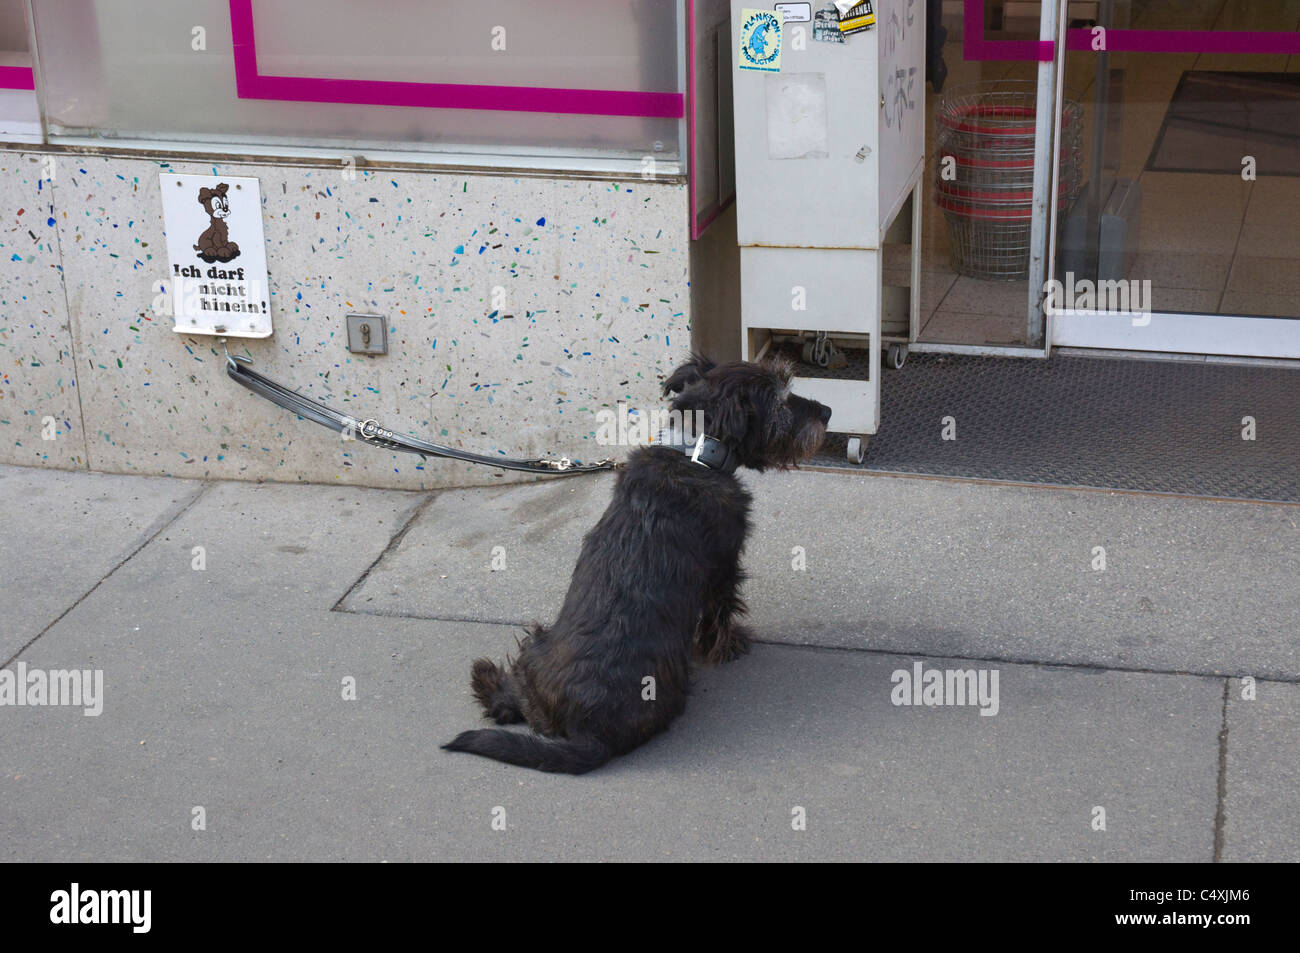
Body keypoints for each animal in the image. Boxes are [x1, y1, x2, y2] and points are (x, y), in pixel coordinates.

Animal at [447, 353, 832, 769]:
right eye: (780, 400)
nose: (827, 412)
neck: (695, 453)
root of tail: (589, 732)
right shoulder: (724, 569)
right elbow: (721, 614)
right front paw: (730, 646)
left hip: (536, 656)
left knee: (509, 705)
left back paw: (485, 680)